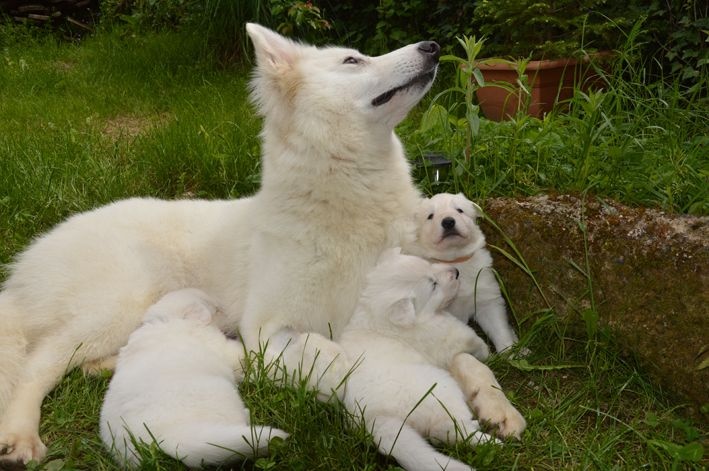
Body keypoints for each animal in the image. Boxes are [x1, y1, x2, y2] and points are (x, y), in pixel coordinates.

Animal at [99, 290, 288, 470]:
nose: (234, 327)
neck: (170, 319)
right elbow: (240, 353)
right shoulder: (222, 348)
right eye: (217, 310)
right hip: (221, 396)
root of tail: (167, 438)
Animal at [340, 249, 524, 470]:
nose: (456, 272)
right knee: (453, 429)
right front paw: (485, 350)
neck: (374, 312)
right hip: (442, 390)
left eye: (428, 263)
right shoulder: (442, 334)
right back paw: (489, 441)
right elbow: (467, 337)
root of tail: (376, 417)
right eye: (434, 285)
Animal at [406, 194, 516, 356]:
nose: (448, 222)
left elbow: (500, 330)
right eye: (430, 216)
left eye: (459, 210)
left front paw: (510, 353)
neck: (455, 259)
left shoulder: (486, 300)